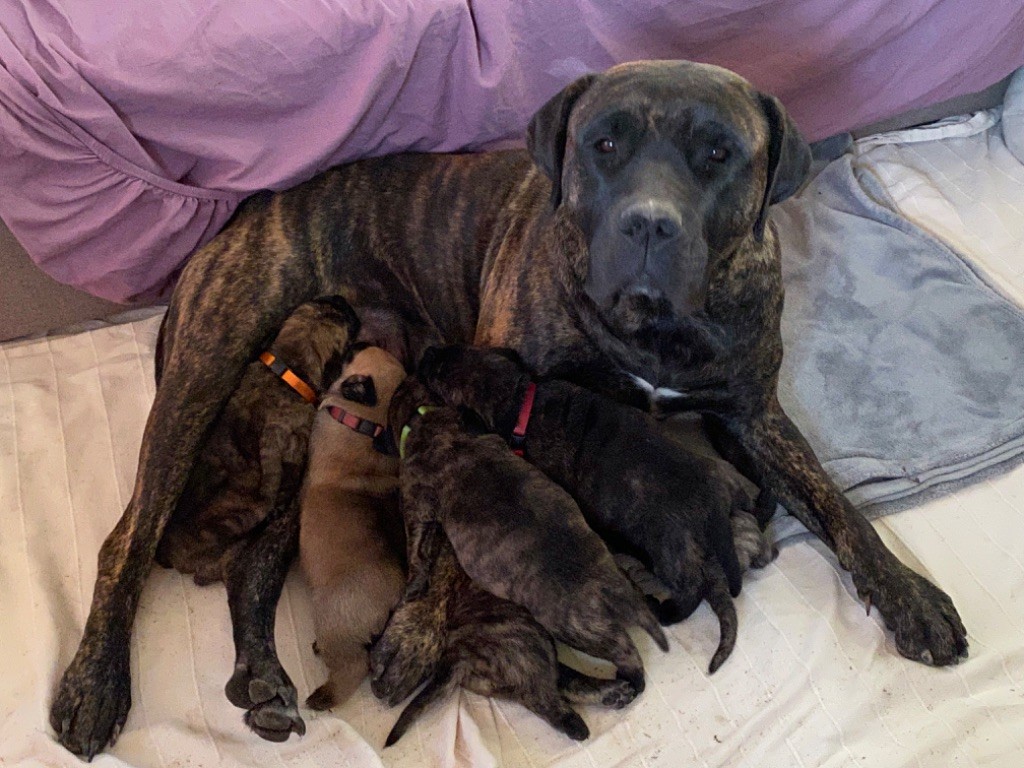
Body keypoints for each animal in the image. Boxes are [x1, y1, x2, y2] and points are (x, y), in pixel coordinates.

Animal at [299, 346, 405, 712]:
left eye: (352, 353)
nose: (345, 344)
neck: (368, 423)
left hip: (334, 622)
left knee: (352, 667)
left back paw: (322, 696)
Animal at [376, 378, 671, 696]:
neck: (431, 421)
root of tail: (616, 592)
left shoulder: (416, 503)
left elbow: (417, 550)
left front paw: (413, 588)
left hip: (576, 629)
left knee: (624, 650)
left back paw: (630, 680)